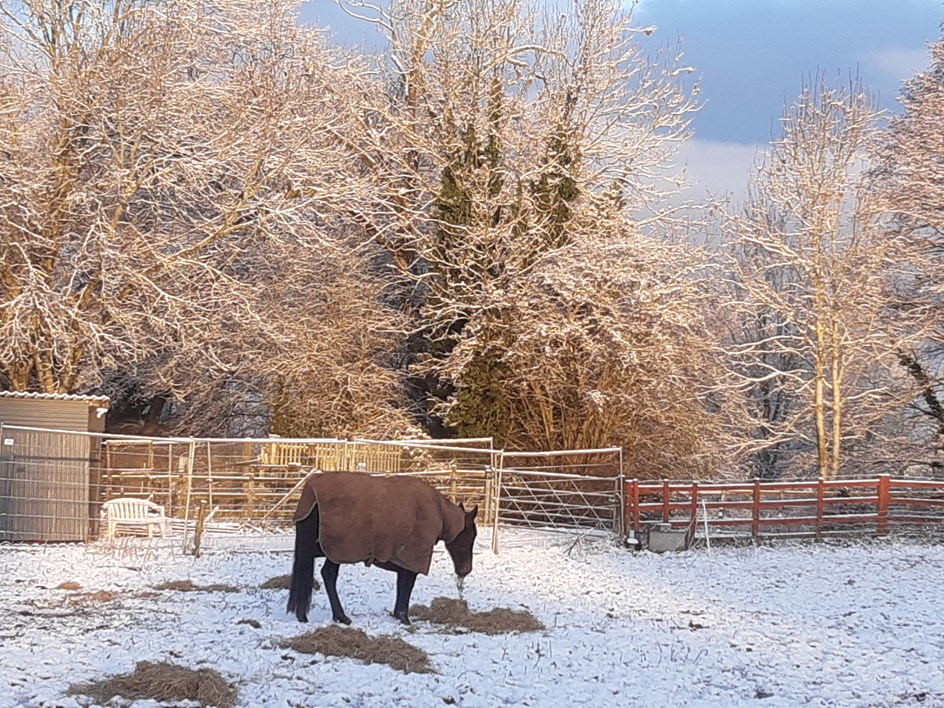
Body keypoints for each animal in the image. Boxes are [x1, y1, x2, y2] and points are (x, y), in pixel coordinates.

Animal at [286, 470, 480, 624]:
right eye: (470, 536)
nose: (465, 570)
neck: (439, 513)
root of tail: (311, 492)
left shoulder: (404, 562)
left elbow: (402, 586)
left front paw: (398, 615)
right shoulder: (411, 559)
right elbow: (407, 587)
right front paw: (404, 618)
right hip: (335, 552)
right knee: (326, 574)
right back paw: (336, 616)